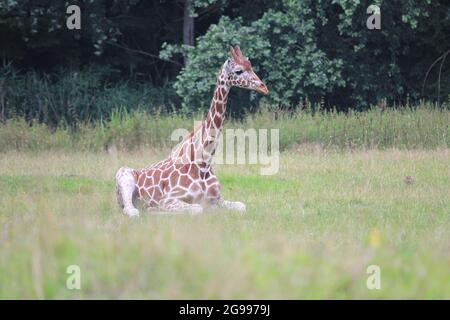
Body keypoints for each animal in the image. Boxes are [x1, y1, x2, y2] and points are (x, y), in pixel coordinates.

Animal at [115, 45, 268, 216]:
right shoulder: (168, 199)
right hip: (123, 175)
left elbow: (242, 206)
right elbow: (197, 209)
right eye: (238, 71)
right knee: (131, 210)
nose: (264, 87)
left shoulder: (217, 199)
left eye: (251, 66)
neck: (203, 164)